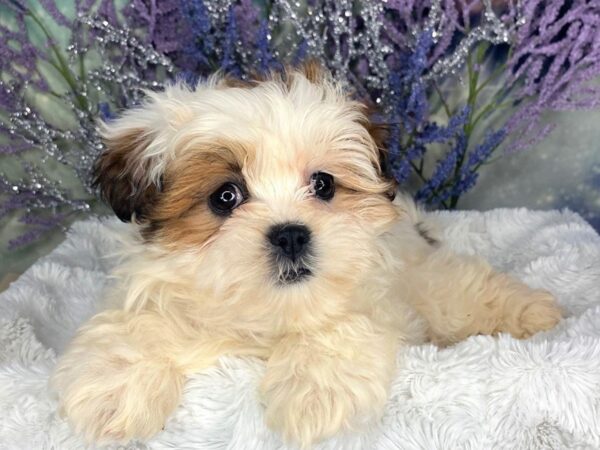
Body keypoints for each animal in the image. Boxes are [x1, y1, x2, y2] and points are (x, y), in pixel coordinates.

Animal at [51, 62, 564, 446]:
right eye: (225, 196)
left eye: (323, 184)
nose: (291, 235)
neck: (268, 313)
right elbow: (134, 326)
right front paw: (114, 390)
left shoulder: (371, 292)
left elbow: (335, 324)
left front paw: (314, 394)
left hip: (427, 275)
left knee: (460, 288)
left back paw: (533, 312)